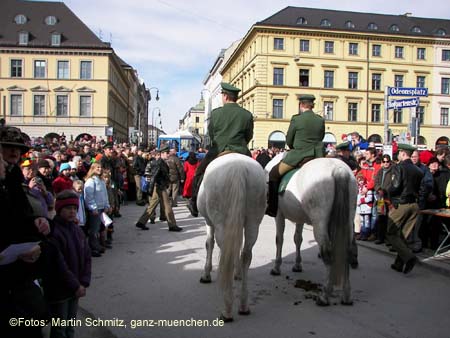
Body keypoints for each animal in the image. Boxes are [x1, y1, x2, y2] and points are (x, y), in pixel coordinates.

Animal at [198, 153, 268, 322]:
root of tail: (239, 168)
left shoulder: (208, 221)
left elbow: (209, 244)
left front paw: (206, 274)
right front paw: (237, 274)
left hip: (221, 222)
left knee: (225, 254)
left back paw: (227, 308)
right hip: (253, 222)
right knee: (246, 255)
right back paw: (243, 304)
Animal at [266, 154, 356, 304]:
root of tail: (338, 169)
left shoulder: (279, 214)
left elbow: (279, 239)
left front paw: (276, 267)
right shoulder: (299, 217)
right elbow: (298, 239)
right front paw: (297, 265)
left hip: (319, 223)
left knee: (328, 253)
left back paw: (325, 295)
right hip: (348, 222)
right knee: (348, 251)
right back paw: (347, 295)